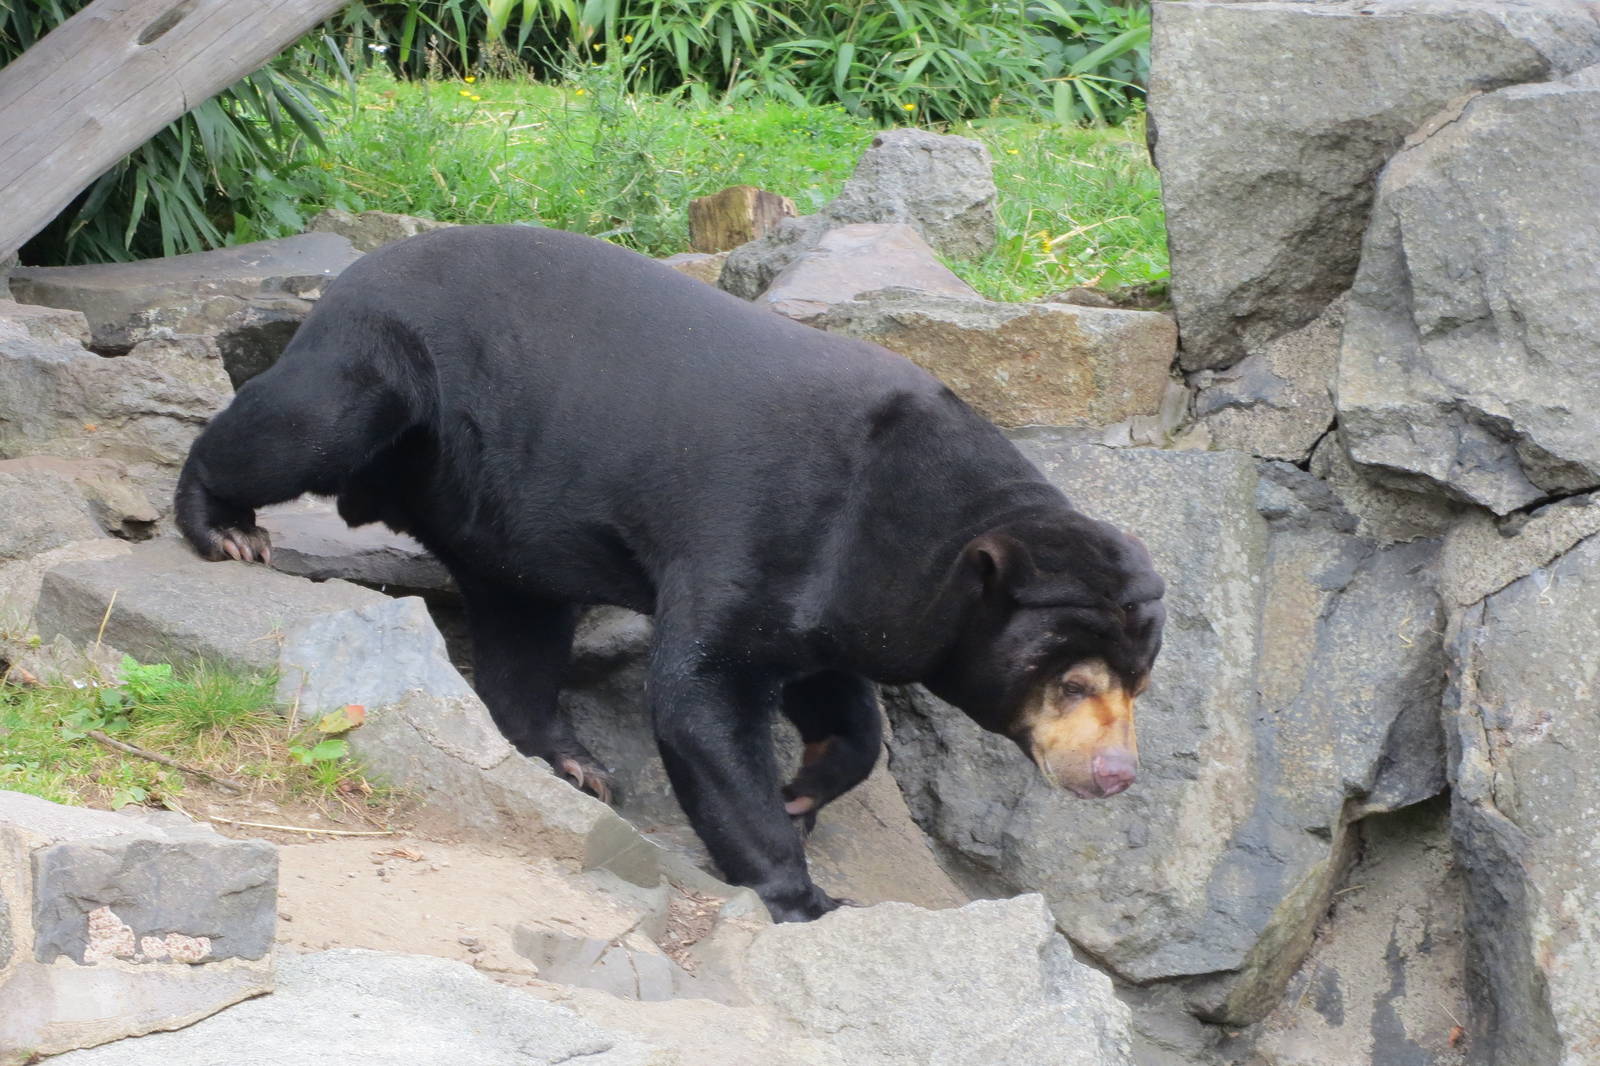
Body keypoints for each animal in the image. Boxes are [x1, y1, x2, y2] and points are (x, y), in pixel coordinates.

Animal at [175, 224, 1166, 922]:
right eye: (1072, 682)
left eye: (1140, 685)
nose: (1116, 775)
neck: (911, 514)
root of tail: (350, 273)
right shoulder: (771, 524)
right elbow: (702, 694)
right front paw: (803, 891)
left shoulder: (848, 588)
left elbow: (835, 695)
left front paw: (806, 788)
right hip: (386, 361)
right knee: (296, 426)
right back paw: (223, 527)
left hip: (496, 507)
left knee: (522, 626)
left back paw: (574, 764)